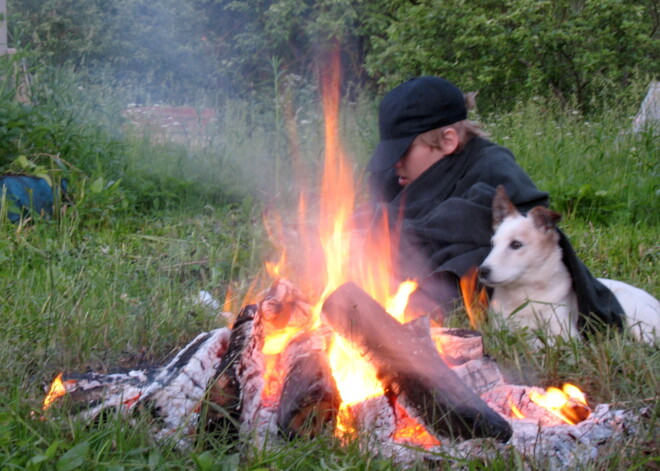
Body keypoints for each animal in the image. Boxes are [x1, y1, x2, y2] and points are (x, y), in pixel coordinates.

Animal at [476, 186, 656, 344]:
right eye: (493, 244)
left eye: (516, 244)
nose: (482, 272)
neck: (526, 292)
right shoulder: (499, 327)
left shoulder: (566, 334)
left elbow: (538, 342)